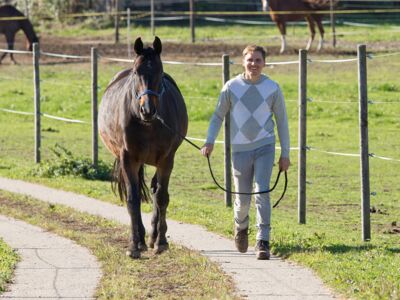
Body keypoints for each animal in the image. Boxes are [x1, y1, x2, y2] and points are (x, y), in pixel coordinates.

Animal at [99, 37, 188, 258]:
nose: (147, 110)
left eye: (160, 71)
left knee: (156, 191)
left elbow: (162, 198)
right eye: (136, 71)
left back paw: (153, 236)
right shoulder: (128, 159)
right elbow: (133, 200)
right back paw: (140, 238)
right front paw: (133, 245)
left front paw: (161, 242)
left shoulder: (166, 160)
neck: (148, 124)